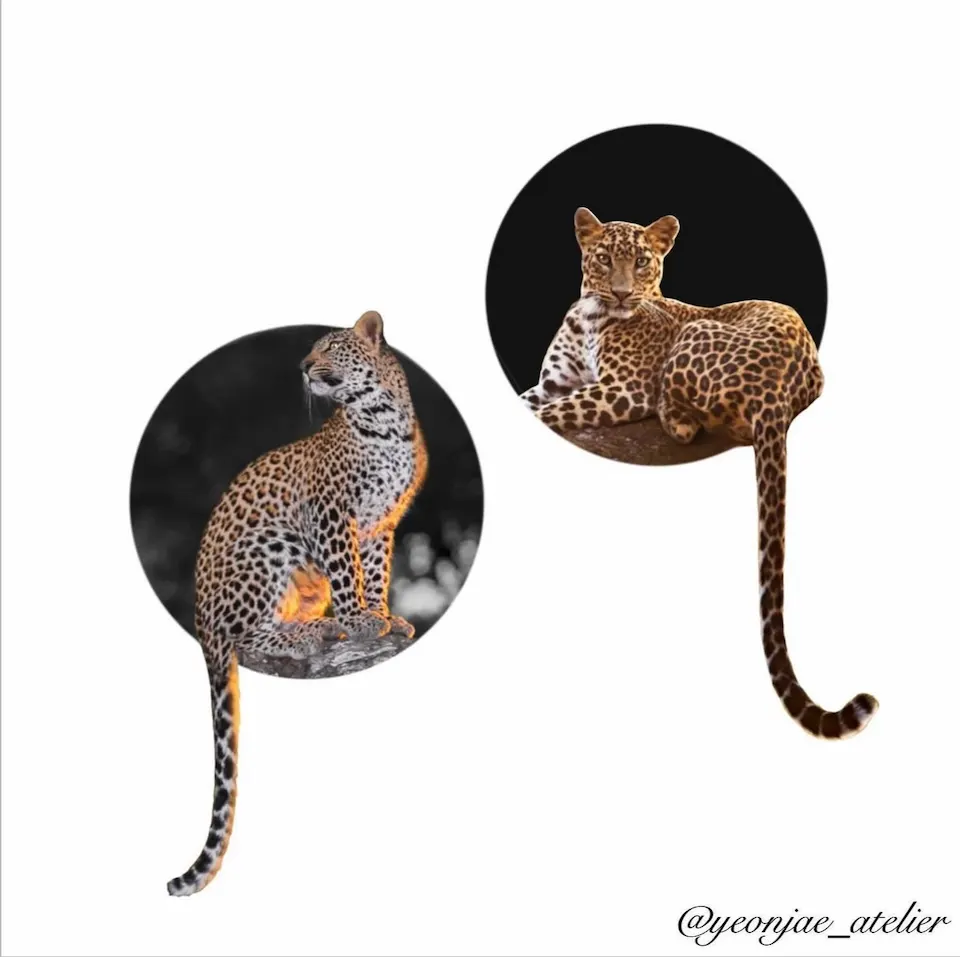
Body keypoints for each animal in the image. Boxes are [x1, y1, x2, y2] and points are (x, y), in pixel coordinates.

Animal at [167, 311, 428, 896]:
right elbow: (349, 574)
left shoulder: (381, 524)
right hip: (268, 549)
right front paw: (358, 621)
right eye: (311, 350)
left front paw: (385, 617)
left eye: (329, 347)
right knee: (246, 636)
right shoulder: (330, 513)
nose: (304, 367)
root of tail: (198, 619)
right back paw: (318, 631)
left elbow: (376, 574)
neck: (382, 420)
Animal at [521, 207, 877, 740]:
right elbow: (531, 403)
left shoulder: (620, 391)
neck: (589, 317)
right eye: (604, 259)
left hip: (694, 339)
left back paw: (677, 418)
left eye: (642, 262)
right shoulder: (551, 384)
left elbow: (552, 415)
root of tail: (779, 394)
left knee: (693, 422)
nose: (622, 294)